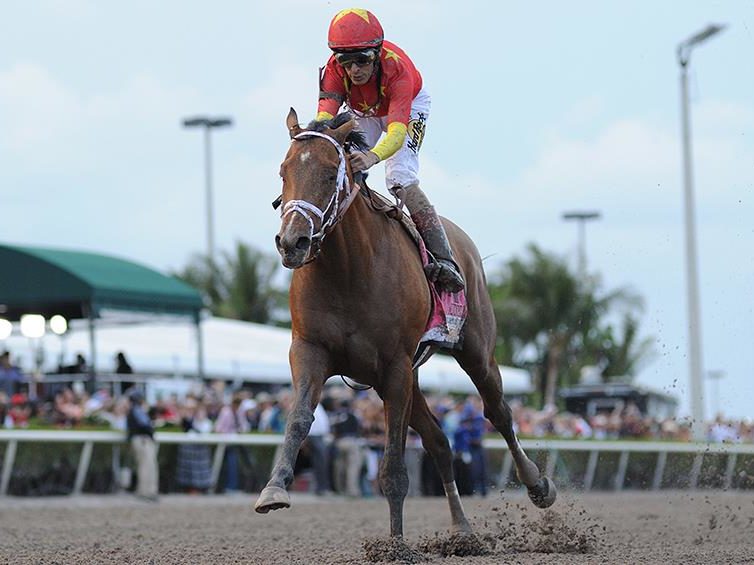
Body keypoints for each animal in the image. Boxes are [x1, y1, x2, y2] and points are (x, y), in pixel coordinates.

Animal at [253, 108, 552, 536]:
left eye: (328, 173)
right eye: (284, 171)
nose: (292, 242)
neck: (348, 270)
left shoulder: (394, 365)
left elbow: (393, 467)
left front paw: (396, 543)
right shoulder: (311, 350)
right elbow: (299, 418)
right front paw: (274, 489)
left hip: (475, 352)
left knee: (498, 412)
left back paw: (537, 485)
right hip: (404, 378)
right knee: (439, 441)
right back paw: (461, 528)